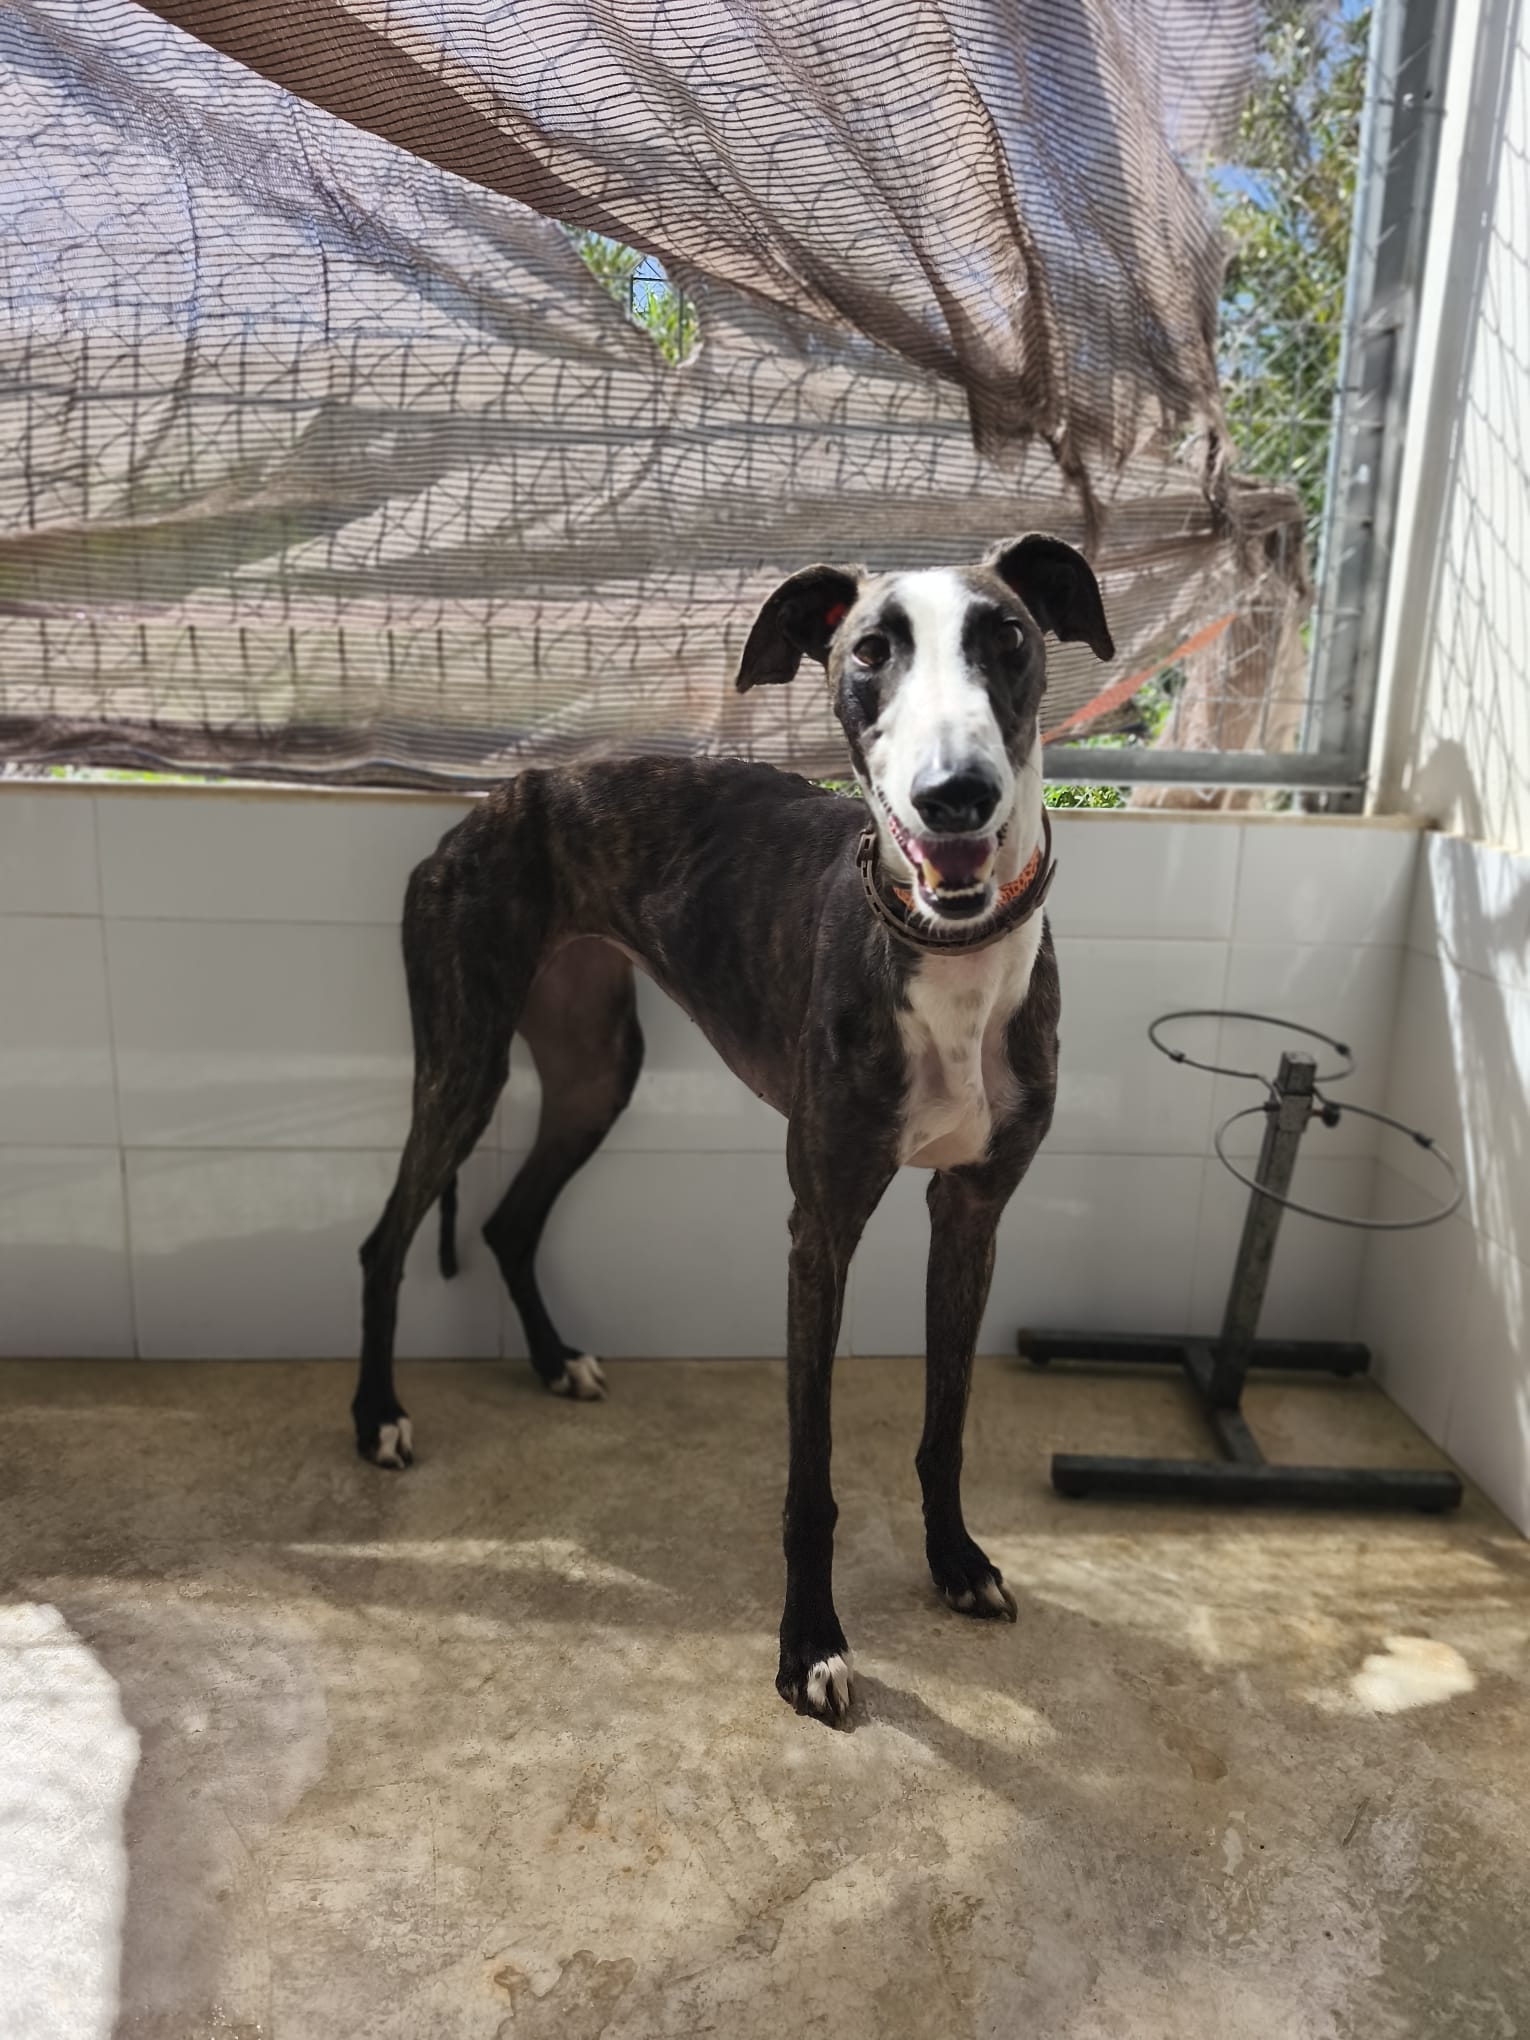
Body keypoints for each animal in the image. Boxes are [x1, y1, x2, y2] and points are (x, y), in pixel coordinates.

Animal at [355, 535, 1113, 1723]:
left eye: (1010, 637)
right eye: (869, 652)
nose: (955, 796)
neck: (947, 953)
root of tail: (503, 794)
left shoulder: (973, 1213)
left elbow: (944, 1426)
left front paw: (955, 1564)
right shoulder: (821, 1227)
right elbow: (811, 1476)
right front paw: (810, 1647)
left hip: (594, 1071)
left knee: (508, 1221)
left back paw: (554, 1361)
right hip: (463, 1060)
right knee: (386, 1238)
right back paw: (376, 1416)